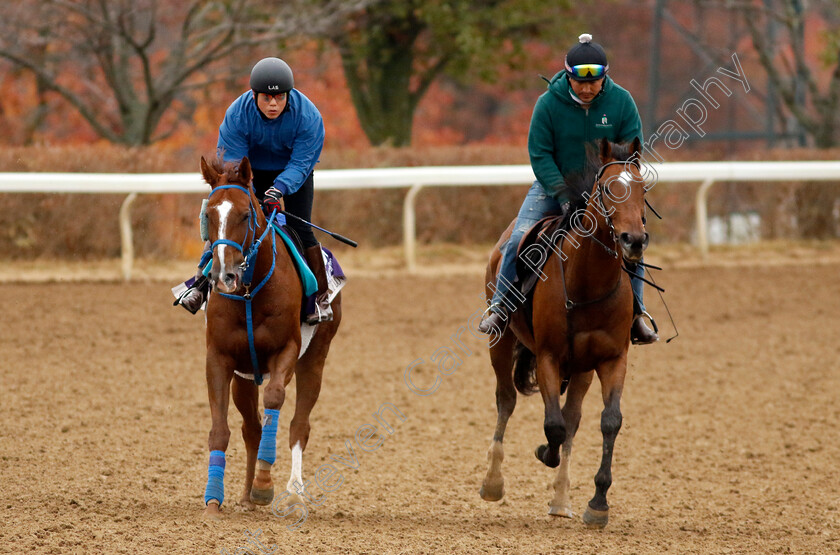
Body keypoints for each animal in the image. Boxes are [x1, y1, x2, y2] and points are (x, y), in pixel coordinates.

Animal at [198, 155, 342, 520]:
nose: (224, 276)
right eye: (209, 216)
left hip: (314, 360)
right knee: (251, 429)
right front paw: (214, 499)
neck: (249, 292)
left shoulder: (286, 350)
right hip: (245, 376)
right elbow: (220, 430)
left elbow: (275, 399)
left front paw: (265, 485)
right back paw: (246, 496)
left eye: (245, 214)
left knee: (298, 426)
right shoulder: (219, 358)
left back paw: (293, 496)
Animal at [480, 137, 648, 528]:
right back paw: (493, 482)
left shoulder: (612, 358)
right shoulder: (549, 357)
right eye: (608, 189)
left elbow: (608, 421)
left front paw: (598, 503)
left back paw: (560, 500)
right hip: (501, 342)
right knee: (506, 400)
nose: (634, 240)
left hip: (582, 368)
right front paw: (545, 451)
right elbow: (552, 425)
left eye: (643, 189)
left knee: (572, 418)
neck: (587, 283)